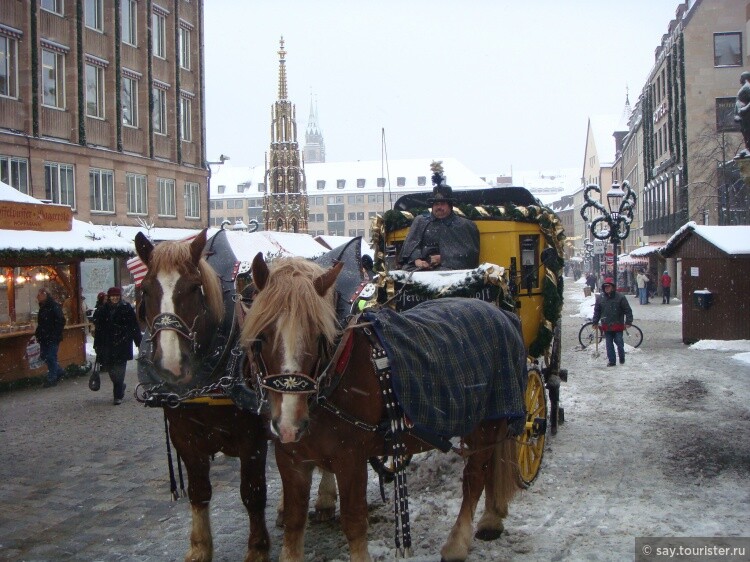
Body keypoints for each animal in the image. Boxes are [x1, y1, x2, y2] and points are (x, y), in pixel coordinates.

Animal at [135, 229, 338, 560]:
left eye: (194, 288)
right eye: (144, 289)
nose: (171, 364)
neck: (209, 383)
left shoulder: (251, 440)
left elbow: (253, 493)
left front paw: (257, 548)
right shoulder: (185, 439)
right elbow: (199, 492)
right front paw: (200, 547)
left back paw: (324, 499)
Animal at [244, 254, 524, 560]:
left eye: (319, 336)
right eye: (261, 336)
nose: (289, 425)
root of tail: (501, 313)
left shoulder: (350, 458)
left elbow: (354, 521)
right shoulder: (291, 460)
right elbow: (294, 523)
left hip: (486, 423)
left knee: (475, 477)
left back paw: (458, 542)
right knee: (493, 463)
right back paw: (492, 518)